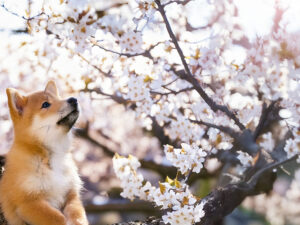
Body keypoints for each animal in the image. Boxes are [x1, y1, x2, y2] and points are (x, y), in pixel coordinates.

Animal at [0, 81, 88, 225]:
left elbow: (77, 215)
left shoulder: (71, 195)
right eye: (45, 104)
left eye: (59, 98)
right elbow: (58, 218)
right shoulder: (28, 202)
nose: (73, 99)